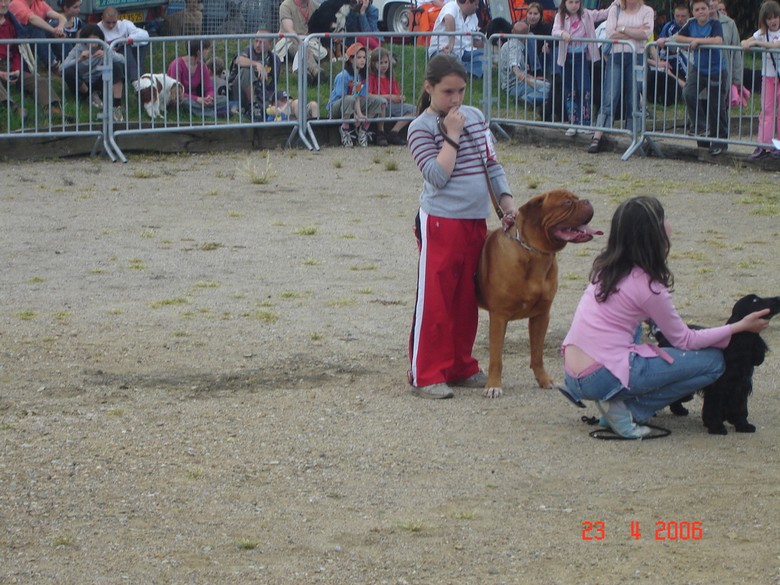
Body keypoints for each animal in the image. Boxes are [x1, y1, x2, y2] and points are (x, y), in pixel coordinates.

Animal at [472, 190, 600, 396]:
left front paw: (544, 380)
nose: (587, 201)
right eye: (566, 202)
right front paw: (493, 385)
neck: (535, 253)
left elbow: (537, 354)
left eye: (576, 197)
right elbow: (496, 357)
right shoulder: (499, 317)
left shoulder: (541, 315)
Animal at [656, 296, 776, 434]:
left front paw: (743, 425)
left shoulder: (741, 387)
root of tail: (663, 337)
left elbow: (740, 408)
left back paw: (680, 410)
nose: (776, 299)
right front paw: (717, 427)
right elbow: (713, 409)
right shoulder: (718, 389)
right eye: (755, 301)